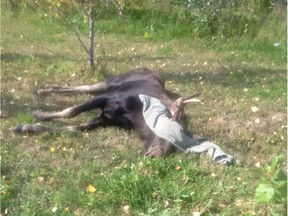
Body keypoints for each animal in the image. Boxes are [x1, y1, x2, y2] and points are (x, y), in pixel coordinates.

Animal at [13, 68, 234, 165]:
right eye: (169, 130)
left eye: (178, 146)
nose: (156, 155)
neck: (136, 118)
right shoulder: (109, 99)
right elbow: (71, 111)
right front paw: (37, 114)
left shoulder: (103, 119)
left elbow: (73, 127)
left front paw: (28, 127)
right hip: (113, 83)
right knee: (85, 87)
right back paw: (44, 90)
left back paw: (45, 89)